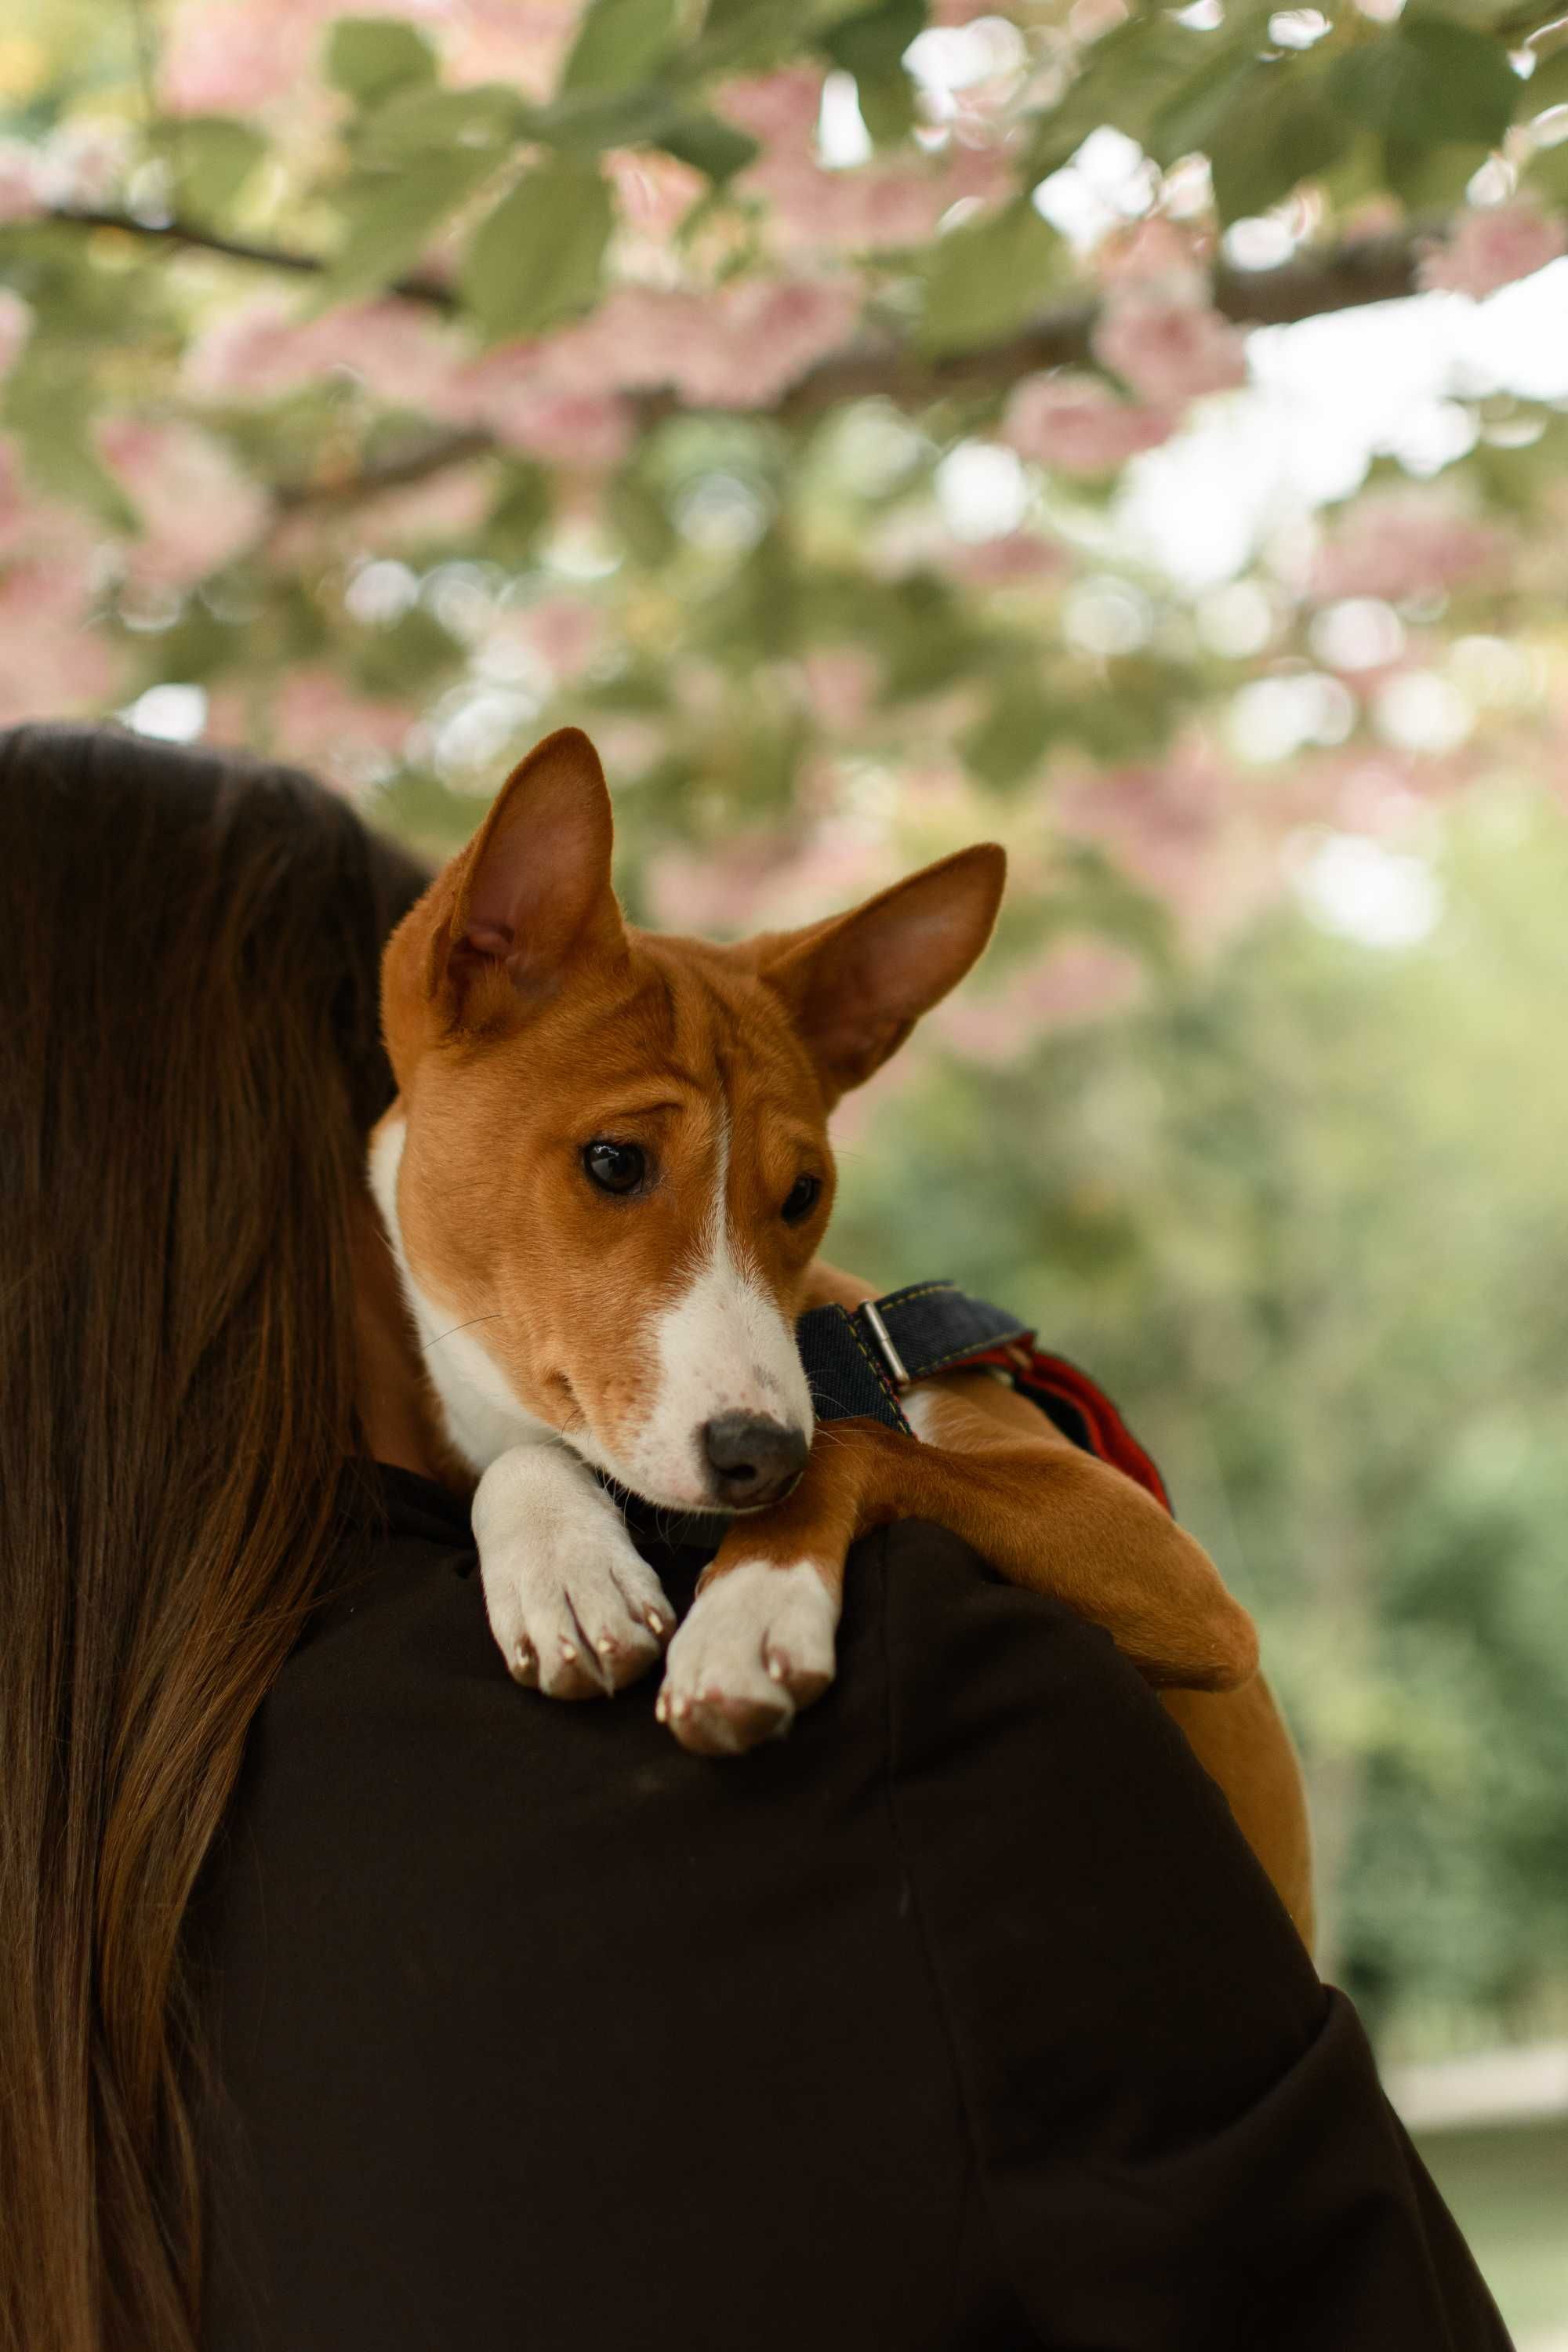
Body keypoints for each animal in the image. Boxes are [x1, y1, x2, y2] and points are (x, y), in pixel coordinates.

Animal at [368, 734, 1316, 1947]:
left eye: (805, 1193)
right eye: (614, 1161)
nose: (757, 1454)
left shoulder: (1177, 1576)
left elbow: (858, 1446)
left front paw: (748, 1605)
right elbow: (532, 1463)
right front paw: (564, 1564)